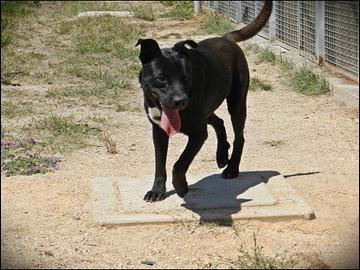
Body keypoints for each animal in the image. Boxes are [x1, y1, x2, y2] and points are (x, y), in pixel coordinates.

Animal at [136, 1, 272, 200]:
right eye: (161, 78)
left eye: (186, 77)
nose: (181, 101)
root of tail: (226, 38)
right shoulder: (159, 131)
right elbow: (160, 164)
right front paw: (157, 191)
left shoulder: (199, 134)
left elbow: (180, 163)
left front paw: (181, 187)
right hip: (208, 110)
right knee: (219, 122)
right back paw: (222, 154)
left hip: (236, 103)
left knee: (239, 137)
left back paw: (232, 168)